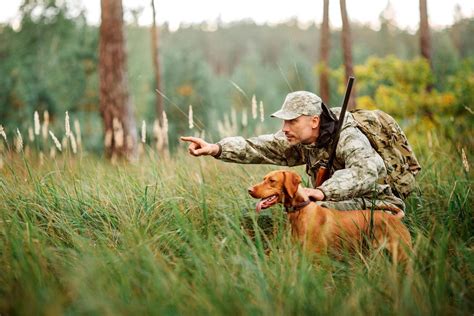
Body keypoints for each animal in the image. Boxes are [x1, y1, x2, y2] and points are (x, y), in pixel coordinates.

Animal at [248, 170, 412, 262]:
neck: (301, 211)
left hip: (402, 256)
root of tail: (394, 218)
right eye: (264, 179)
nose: (249, 190)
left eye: (272, 180)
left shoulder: (318, 258)